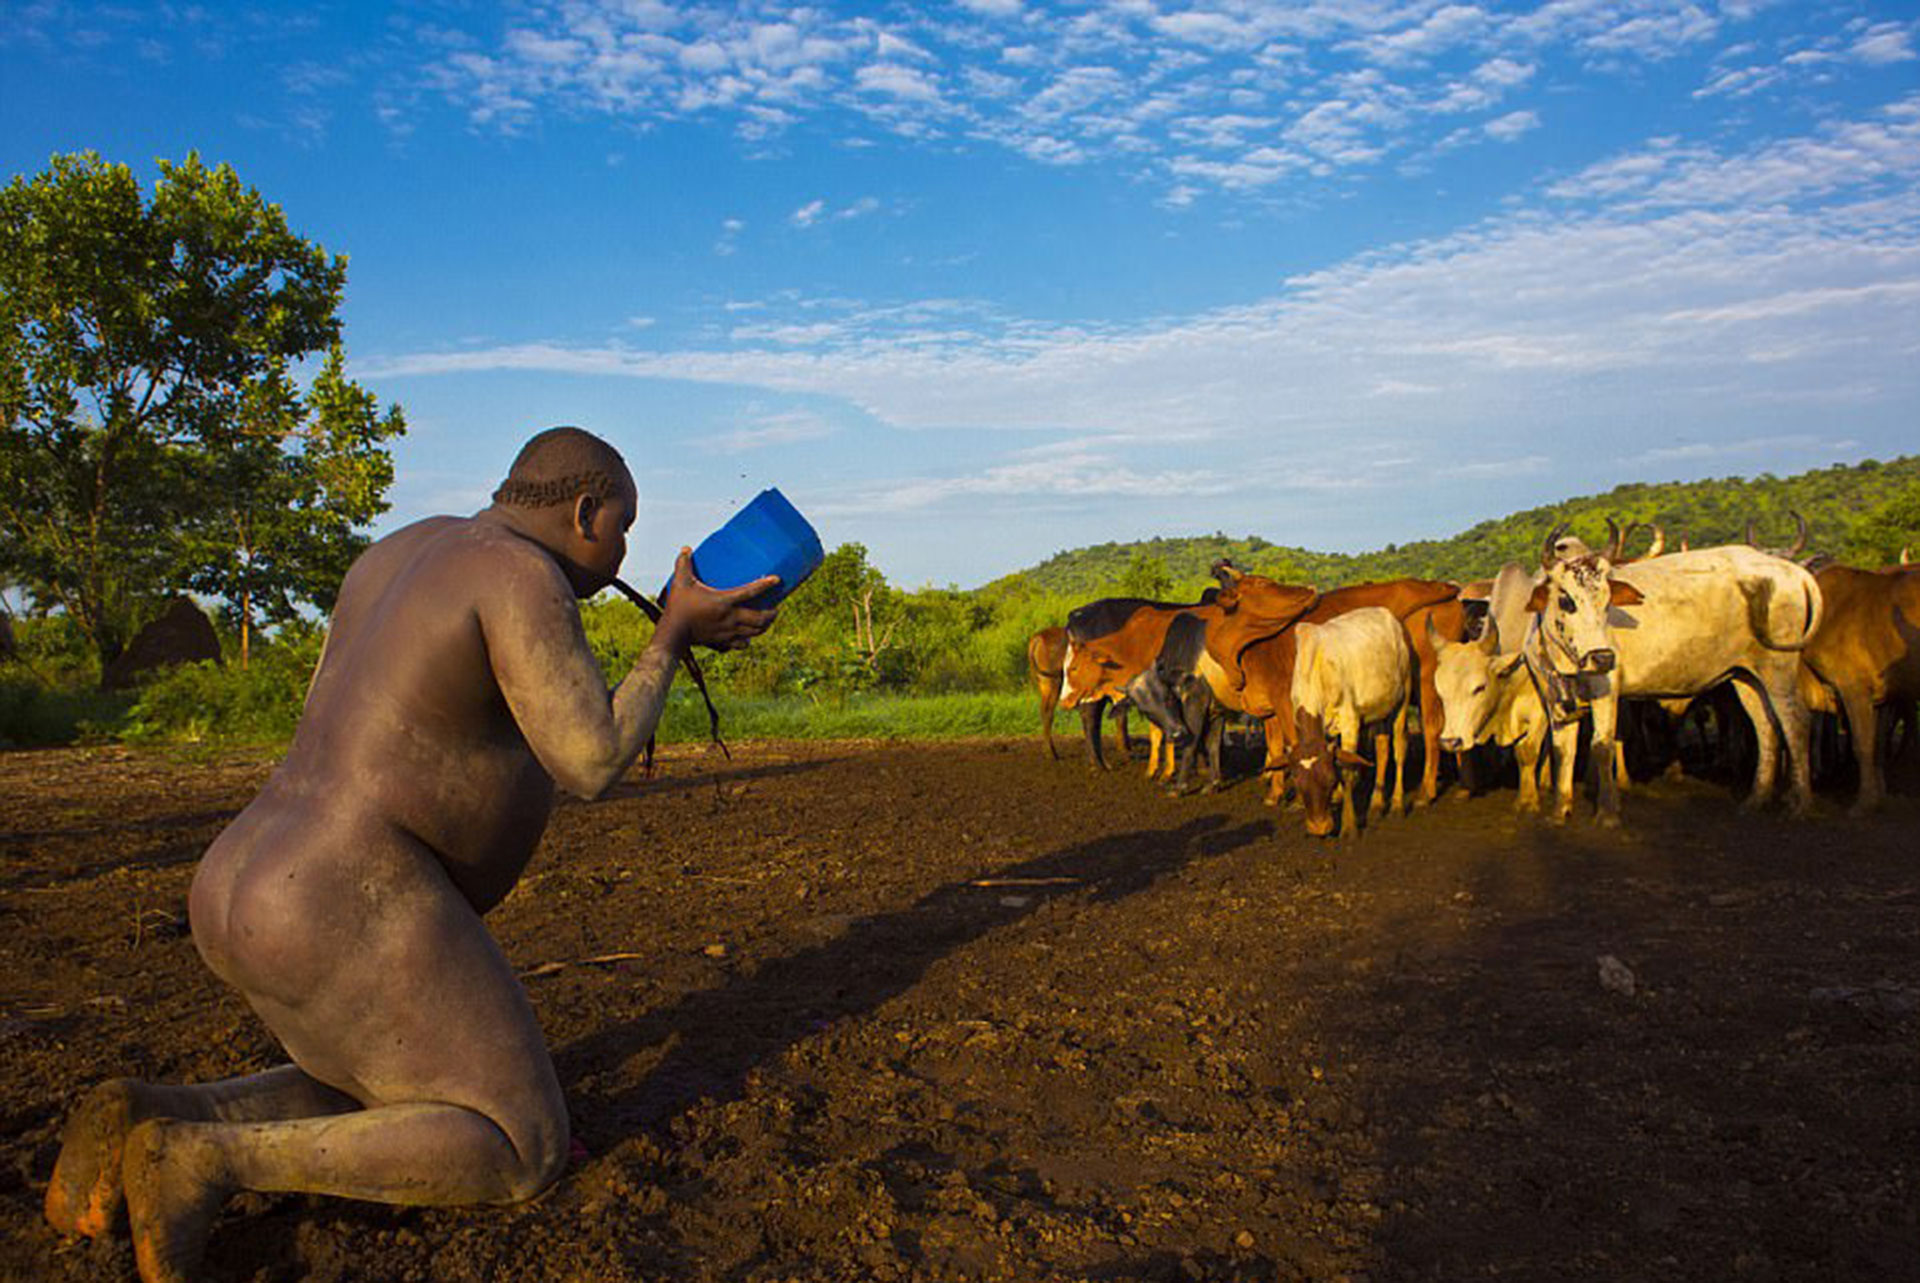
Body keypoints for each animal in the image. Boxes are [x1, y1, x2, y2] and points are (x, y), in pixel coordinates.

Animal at [1520, 526, 1820, 825]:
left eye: (1607, 602)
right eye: (1565, 599)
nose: (1603, 658)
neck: (1563, 659)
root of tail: (1790, 569)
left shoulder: (1606, 691)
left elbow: (1602, 746)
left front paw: (1607, 812)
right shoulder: (1553, 697)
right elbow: (1562, 751)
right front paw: (1559, 810)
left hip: (1778, 668)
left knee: (1796, 721)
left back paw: (1800, 804)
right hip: (1747, 677)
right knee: (1766, 727)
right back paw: (1756, 799)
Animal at [1797, 564, 1920, 810]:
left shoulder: (1853, 689)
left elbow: (1861, 745)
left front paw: (1864, 802)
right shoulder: (1881, 697)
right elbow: (1877, 745)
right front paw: (1880, 795)